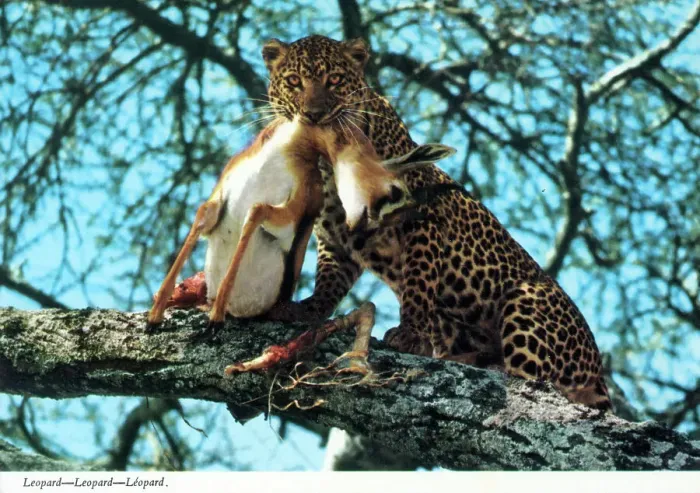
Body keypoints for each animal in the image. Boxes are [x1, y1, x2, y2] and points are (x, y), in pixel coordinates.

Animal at [262, 35, 611, 410]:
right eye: (294, 82)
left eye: (335, 81)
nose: (314, 115)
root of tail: (599, 372)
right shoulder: (337, 234)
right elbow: (329, 281)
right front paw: (309, 310)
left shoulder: (421, 218)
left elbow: (419, 282)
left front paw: (410, 334)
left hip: (527, 299)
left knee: (535, 379)